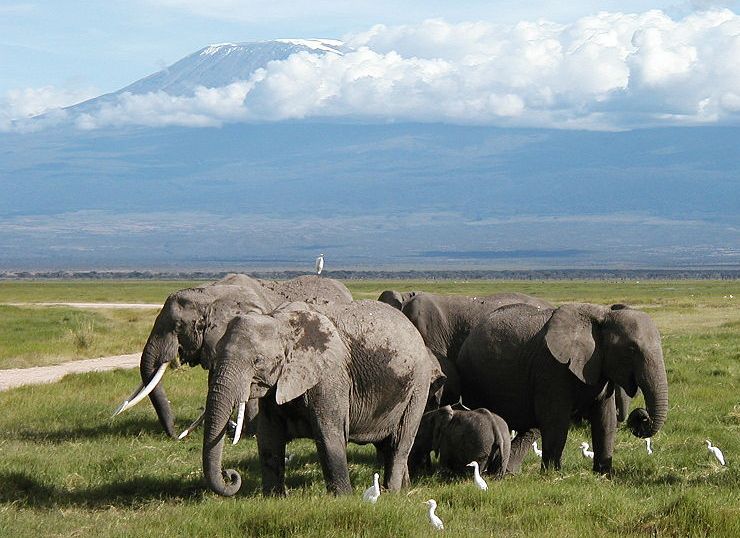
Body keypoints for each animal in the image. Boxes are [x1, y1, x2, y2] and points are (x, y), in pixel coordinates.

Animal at [199, 298, 436, 494]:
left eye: (257, 361)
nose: (230, 475)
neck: (281, 322)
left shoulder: (330, 377)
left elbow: (328, 436)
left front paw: (343, 499)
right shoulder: (275, 387)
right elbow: (268, 438)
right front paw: (274, 498)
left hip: (418, 386)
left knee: (400, 442)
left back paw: (391, 492)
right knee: (386, 445)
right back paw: (404, 489)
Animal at [460, 302, 668, 474]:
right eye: (631, 349)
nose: (641, 416)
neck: (602, 316)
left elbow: (605, 419)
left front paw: (604, 474)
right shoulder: (552, 367)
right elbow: (556, 420)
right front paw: (553, 473)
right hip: (473, 376)